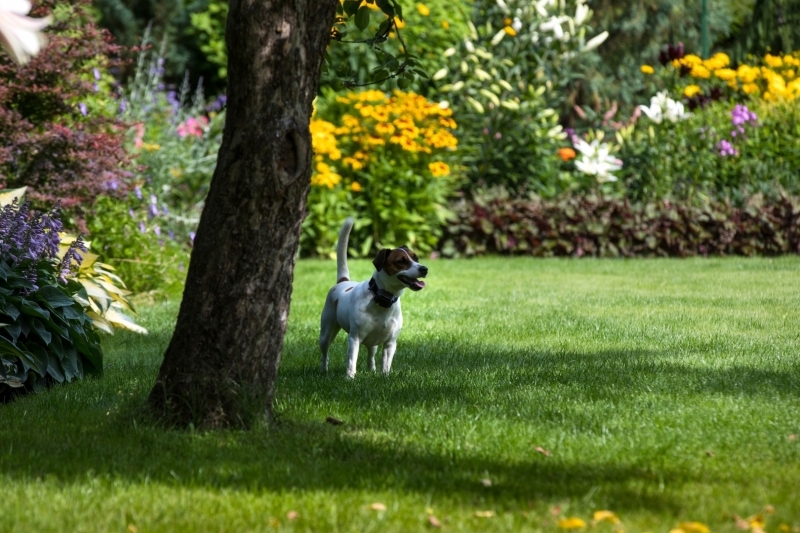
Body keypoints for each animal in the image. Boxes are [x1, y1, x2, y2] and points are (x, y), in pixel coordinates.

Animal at [318, 217, 428, 378]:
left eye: (416, 258)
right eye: (400, 261)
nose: (424, 269)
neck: (381, 299)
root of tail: (343, 281)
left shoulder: (390, 342)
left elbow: (386, 363)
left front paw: (384, 377)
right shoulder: (355, 338)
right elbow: (351, 361)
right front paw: (350, 378)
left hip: (373, 341)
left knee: (371, 355)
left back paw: (372, 370)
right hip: (326, 332)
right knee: (324, 354)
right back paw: (323, 370)